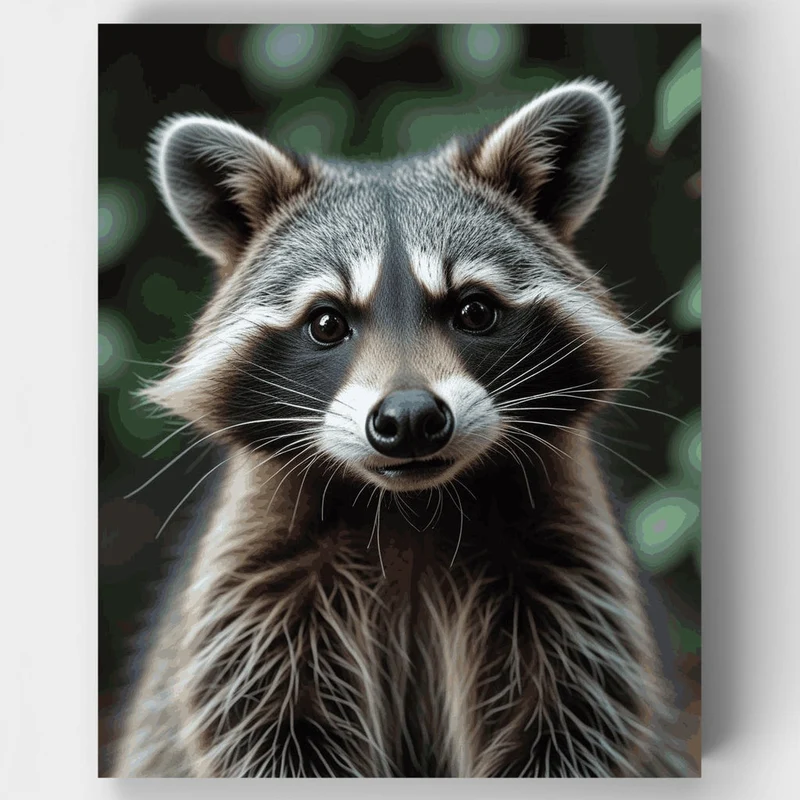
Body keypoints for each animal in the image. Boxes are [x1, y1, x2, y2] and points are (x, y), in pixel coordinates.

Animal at [113, 80, 682, 777]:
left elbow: (568, 728)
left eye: (474, 310)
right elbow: (269, 734)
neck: (412, 512)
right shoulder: (254, 596)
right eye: (327, 322)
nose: (410, 419)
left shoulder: (570, 585)